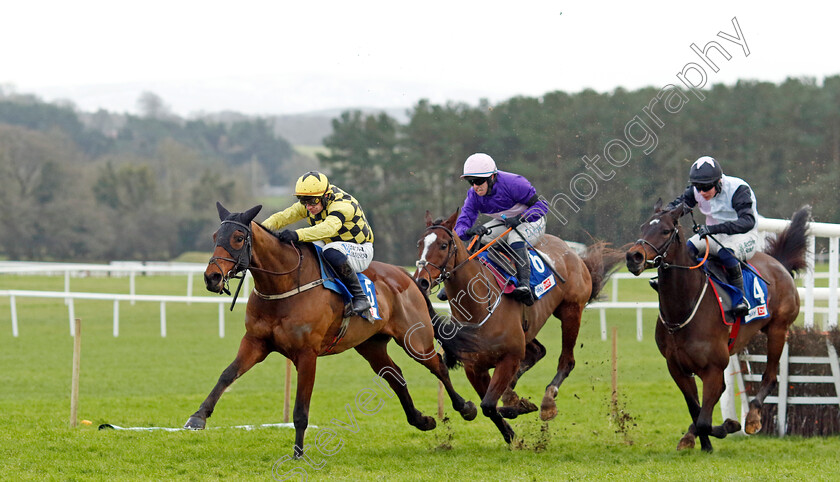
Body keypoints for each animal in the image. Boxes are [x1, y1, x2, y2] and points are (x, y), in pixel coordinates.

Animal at [185, 202, 476, 456]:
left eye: (237, 237)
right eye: (215, 236)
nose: (211, 277)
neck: (284, 286)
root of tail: (408, 277)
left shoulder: (307, 354)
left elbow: (301, 410)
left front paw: (298, 453)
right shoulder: (256, 342)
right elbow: (227, 375)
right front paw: (198, 417)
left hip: (415, 340)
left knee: (438, 366)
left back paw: (466, 408)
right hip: (371, 345)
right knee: (395, 376)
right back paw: (421, 420)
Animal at [414, 209, 624, 442]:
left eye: (443, 245)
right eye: (419, 244)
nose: (421, 281)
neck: (480, 305)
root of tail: (572, 252)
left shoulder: (510, 357)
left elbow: (489, 405)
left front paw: (517, 408)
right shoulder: (474, 368)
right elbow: (489, 406)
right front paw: (510, 426)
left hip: (571, 311)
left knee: (566, 361)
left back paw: (547, 402)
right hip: (529, 328)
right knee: (537, 352)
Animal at [624, 201, 808, 452]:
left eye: (665, 230)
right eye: (643, 227)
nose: (633, 256)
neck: (684, 308)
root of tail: (778, 262)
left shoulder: (713, 368)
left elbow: (704, 419)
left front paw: (728, 426)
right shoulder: (677, 368)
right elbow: (696, 410)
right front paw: (701, 442)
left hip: (778, 329)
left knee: (770, 377)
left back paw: (752, 418)